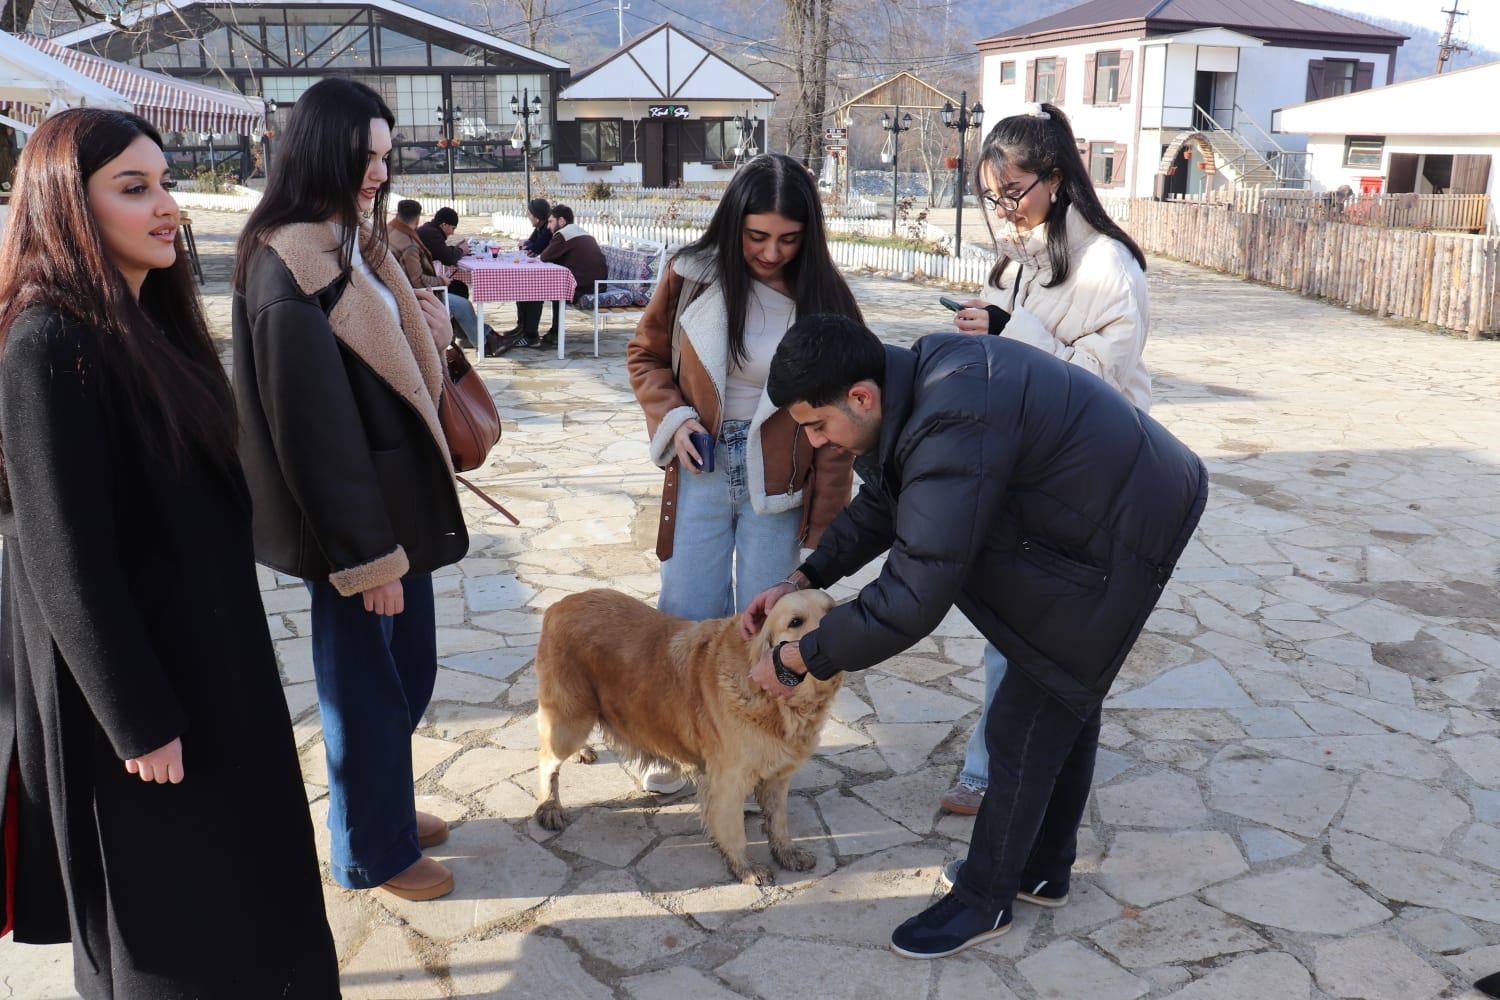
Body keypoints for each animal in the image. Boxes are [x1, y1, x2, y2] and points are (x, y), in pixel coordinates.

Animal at [533, 587, 838, 885]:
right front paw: (746, 868)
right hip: (570, 720)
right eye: (795, 622)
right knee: (547, 760)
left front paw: (788, 854)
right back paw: (549, 806)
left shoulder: (778, 777)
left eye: (831, 610)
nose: (824, 640)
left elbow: (778, 823)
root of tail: (560, 604)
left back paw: (580, 753)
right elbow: (734, 832)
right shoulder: (727, 781)